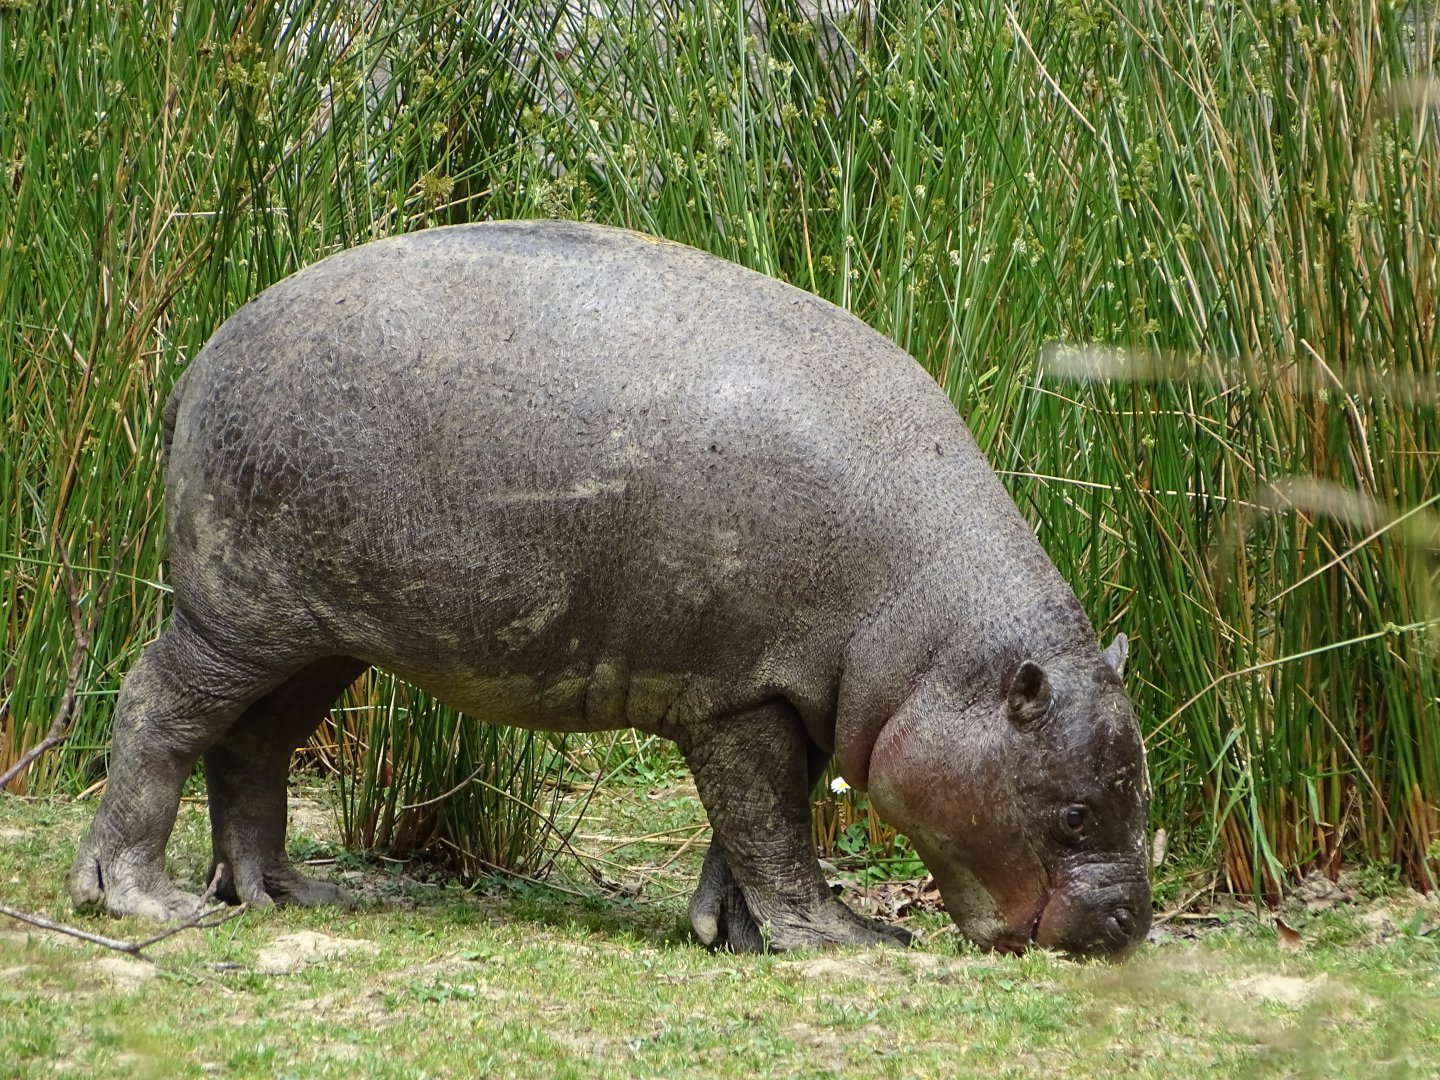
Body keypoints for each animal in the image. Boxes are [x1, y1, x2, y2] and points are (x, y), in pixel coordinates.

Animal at [68, 220, 1152, 957]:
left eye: (1137, 788)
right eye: (1075, 814)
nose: (1127, 929)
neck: (931, 637)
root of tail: (200, 357)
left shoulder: (782, 696)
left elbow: (752, 827)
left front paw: (733, 934)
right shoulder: (740, 696)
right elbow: (769, 827)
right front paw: (843, 939)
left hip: (320, 635)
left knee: (256, 742)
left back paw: (285, 894)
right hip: (236, 609)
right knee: (158, 703)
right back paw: (139, 898)